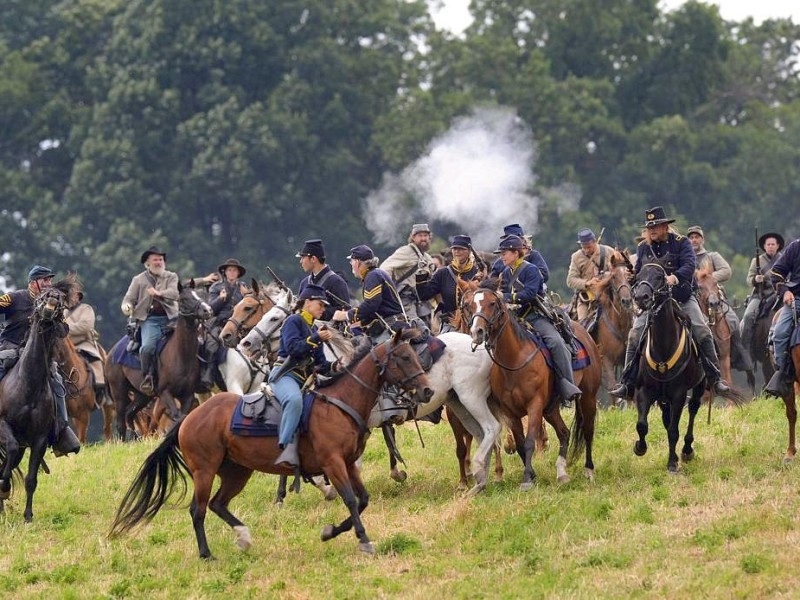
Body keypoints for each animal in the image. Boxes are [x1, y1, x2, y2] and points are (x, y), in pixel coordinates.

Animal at [105, 278, 212, 438]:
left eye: (201, 295)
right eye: (184, 299)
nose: (208, 310)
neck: (180, 355)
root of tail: (110, 354)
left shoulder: (187, 396)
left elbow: (182, 417)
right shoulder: (165, 393)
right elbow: (176, 416)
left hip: (142, 395)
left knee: (130, 413)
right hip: (119, 393)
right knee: (121, 422)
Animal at [110, 328, 434, 556]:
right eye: (404, 357)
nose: (428, 391)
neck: (340, 402)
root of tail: (188, 419)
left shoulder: (349, 463)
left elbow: (363, 499)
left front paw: (331, 531)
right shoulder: (333, 462)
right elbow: (351, 500)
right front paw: (363, 540)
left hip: (237, 472)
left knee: (217, 504)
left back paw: (243, 537)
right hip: (205, 471)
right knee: (198, 510)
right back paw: (206, 553)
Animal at [460, 288, 596, 492]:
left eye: (492, 303)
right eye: (469, 305)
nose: (477, 331)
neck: (514, 360)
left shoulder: (534, 406)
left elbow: (530, 441)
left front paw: (526, 479)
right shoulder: (511, 413)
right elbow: (520, 444)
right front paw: (531, 475)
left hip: (588, 397)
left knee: (587, 431)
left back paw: (589, 470)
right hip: (551, 408)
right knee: (564, 433)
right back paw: (562, 473)